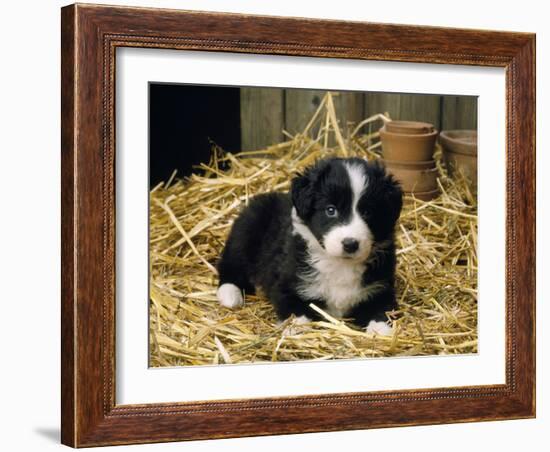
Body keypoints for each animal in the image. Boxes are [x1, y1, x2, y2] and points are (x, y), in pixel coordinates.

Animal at [218, 157, 404, 334]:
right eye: (331, 210)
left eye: (368, 212)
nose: (350, 244)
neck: (339, 264)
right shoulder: (289, 285)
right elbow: (297, 313)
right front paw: (295, 328)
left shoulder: (380, 289)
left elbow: (382, 311)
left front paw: (381, 330)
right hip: (246, 232)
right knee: (230, 265)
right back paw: (230, 295)